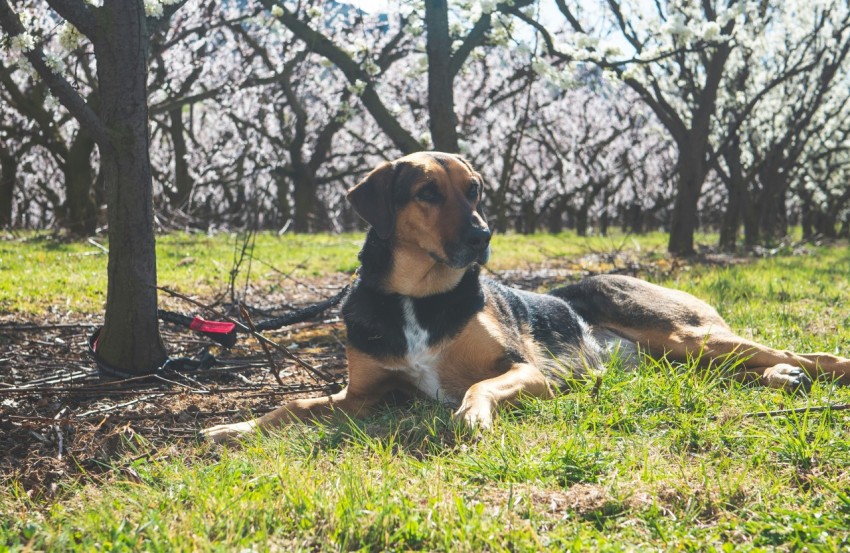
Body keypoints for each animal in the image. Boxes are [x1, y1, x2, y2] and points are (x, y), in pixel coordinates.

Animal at [200, 152, 848, 444]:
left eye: (475, 189)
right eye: (427, 192)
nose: (482, 234)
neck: (417, 297)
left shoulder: (527, 370)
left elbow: (481, 385)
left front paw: (472, 414)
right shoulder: (358, 397)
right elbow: (292, 406)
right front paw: (236, 428)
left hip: (684, 333)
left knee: (802, 354)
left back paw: (814, 368)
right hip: (681, 355)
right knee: (748, 367)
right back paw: (784, 379)